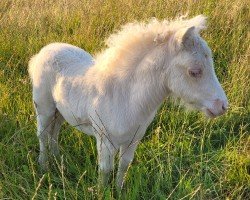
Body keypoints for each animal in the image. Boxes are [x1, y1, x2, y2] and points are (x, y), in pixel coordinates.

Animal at [28, 14, 228, 188]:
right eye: (194, 72)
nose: (222, 106)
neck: (125, 97)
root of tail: (43, 51)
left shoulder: (133, 140)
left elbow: (124, 166)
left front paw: (118, 190)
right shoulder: (105, 141)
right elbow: (105, 171)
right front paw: (102, 192)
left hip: (61, 110)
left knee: (54, 132)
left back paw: (57, 159)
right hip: (44, 107)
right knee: (43, 134)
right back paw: (44, 166)